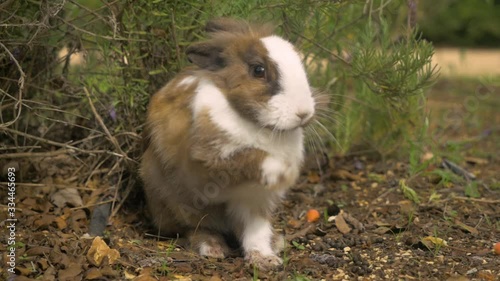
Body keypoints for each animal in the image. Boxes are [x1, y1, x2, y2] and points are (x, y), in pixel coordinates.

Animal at [139, 17, 314, 270]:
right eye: (258, 70)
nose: (304, 113)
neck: (256, 124)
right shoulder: (208, 161)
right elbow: (249, 158)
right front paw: (283, 172)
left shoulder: (255, 199)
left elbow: (255, 231)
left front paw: (265, 259)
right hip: (178, 202)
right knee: (194, 228)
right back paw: (212, 248)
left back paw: (274, 245)